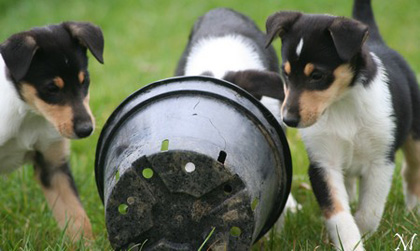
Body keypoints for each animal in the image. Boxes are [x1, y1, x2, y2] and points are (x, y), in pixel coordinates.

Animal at [0, 21, 104, 241]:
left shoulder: (52, 166)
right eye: (51, 88)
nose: (86, 130)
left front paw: (86, 244)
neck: (29, 115)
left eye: (84, 81)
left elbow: (77, 217)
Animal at [236, 0, 420, 248]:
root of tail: (377, 40)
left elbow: (369, 212)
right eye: (286, 74)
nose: (289, 120)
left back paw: (413, 209)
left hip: (414, 133)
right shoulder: (324, 163)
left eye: (317, 76)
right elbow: (338, 212)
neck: (341, 105)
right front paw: (349, 243)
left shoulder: (380, 161)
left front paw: (362, 234)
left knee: (411, 168)